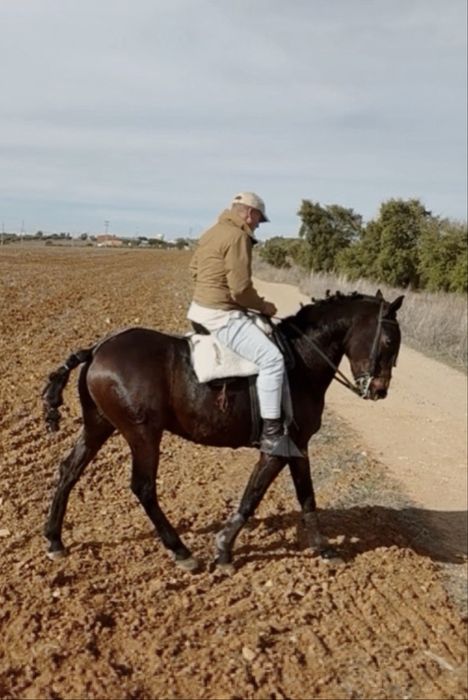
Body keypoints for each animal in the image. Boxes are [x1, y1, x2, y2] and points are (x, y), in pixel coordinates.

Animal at [42, 290, 403, 571]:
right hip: (143, 434)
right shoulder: (278, 448)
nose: (380, 390)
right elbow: (252, 496)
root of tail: (97, 349)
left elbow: (307, 496)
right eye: (388, 340)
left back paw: (54, 539)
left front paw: (324, 548)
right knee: (143, 487)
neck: (300, 361)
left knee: (69, 470)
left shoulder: (298, 446)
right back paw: (181, 551)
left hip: (99, 425)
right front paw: (225, 550)